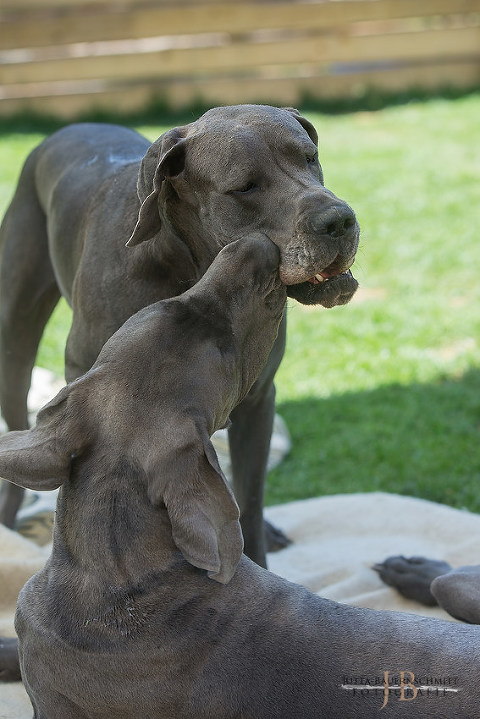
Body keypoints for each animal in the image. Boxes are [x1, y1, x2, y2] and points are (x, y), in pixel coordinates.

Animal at [0, 105, 359, 571]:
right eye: (245, 187)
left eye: (310, 157)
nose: (339, 221)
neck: (188, 262)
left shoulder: (257, 399)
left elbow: (250, 497)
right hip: (13, 345)